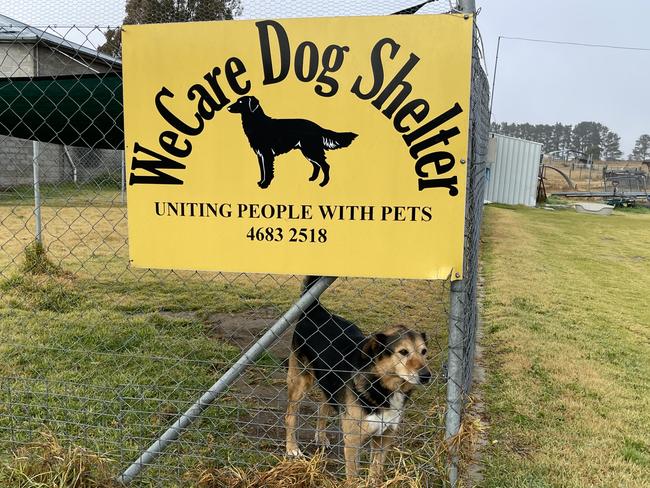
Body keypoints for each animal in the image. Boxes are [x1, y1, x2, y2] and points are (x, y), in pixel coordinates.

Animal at [284, 276, 430, 482]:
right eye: (403, 352)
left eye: (424, 352)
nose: (426, 376)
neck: (382, 386)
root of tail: (317, 310)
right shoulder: (353, 441)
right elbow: (353, 477)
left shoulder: (384, 438)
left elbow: (376, 473)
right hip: (300, 381)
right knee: (290, 415)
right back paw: (292, 448)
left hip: (331, 385)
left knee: (323, 406)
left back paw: (321, 437)